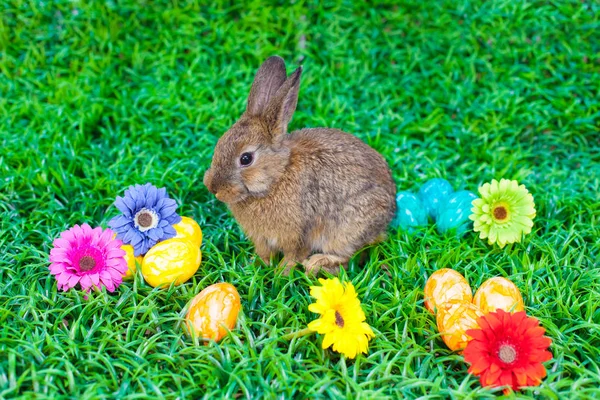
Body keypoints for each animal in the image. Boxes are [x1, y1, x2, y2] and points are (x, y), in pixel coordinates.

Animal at [204, 56, 396, 276]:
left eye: (246, 159)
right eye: (220, 144)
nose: (213, 188)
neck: (277, 177)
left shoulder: (300, 234)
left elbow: (293, 256)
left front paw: (281, 274)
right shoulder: (262, 239)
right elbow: (264, 253)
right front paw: (256, 265)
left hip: (346, 230)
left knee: (348, 256)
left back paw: (317, 264)